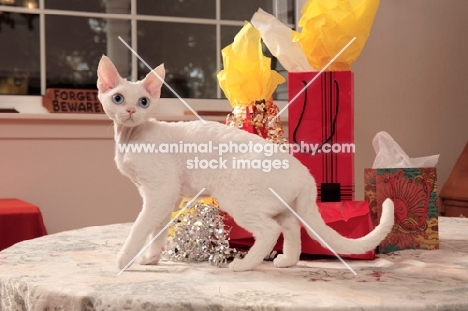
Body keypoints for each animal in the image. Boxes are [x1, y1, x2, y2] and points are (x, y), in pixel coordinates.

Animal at [96, 56, 394, 272]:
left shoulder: (160, 192)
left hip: (237, 199)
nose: (131, 111)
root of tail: (305, 173)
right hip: (279, 206)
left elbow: (140, 228)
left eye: (144, 101)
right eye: (118, 99)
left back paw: (245, 264)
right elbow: (157, 230)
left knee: (270, 230)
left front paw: (124, 261)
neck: (130, 137)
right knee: (291, 227)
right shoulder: (163, 197)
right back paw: (288, 261)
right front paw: (151, 258)